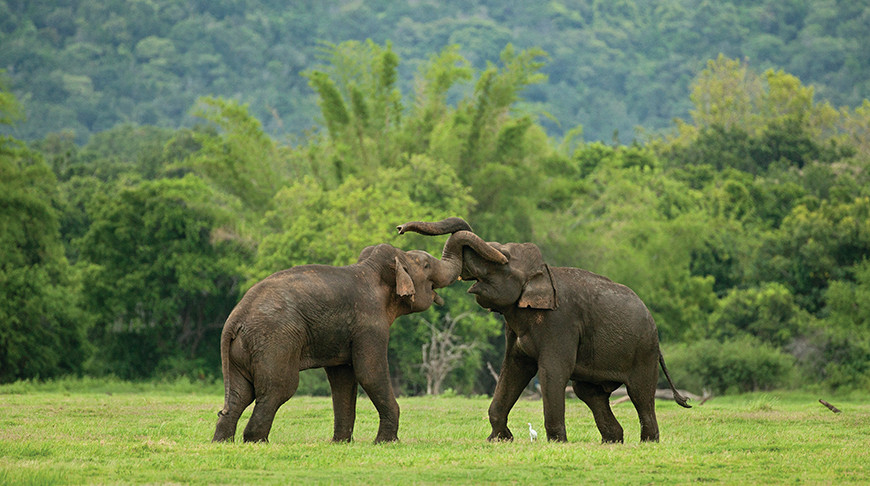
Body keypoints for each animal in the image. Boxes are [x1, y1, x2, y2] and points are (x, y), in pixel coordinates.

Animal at [212, 218, 506, 443]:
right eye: (425, 265)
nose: (400, 227)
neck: (372, 269)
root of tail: (233, 322)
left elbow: (343, 378)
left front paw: (341, 442)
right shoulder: (369, 323)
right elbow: (370, 372)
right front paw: (386, 442)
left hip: (244, 349)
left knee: (240, 394)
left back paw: (223, 441)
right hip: (275, 342)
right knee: (277, 389)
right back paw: (255, 441)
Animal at [397, 218, 690, 443]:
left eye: (503, 260)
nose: (399, 228)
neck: (543, 272)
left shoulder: (560, 322)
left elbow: (552, 371)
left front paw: (557, 443)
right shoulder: (514, 327)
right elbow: (513, 369)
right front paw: (499, 439)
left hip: (643, 351)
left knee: (640, 394)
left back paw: (648, 442)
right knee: (590, 392)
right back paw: (613, 440)